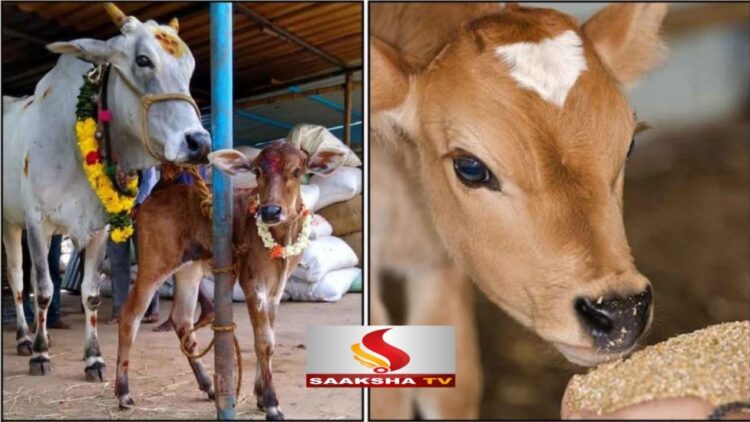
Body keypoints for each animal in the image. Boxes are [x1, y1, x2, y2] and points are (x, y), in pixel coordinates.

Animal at [2, 3, 210, 381]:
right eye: (143, 60)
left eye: (189, 68)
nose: (198, 142)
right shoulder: (37, 222)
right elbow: (44, 289)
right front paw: (41, 353)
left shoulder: (98, 227)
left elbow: (90, 294)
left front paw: (94, 358)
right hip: (10, 221)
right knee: (17, 278)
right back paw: (25, 338)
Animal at [113, 138, 351, 419]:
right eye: (257, 171)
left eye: (297, 171)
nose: (271, 211)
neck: (282, 240)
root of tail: (156, 194)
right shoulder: (253, 283)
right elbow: (264, 341)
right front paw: (272, 403)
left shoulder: (276, 289)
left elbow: (268, 334)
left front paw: (260, 396)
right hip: (154, 263)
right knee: (130, 315)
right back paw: (123, 392)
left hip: (190, 269)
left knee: (181, 319)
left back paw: (208, 386)